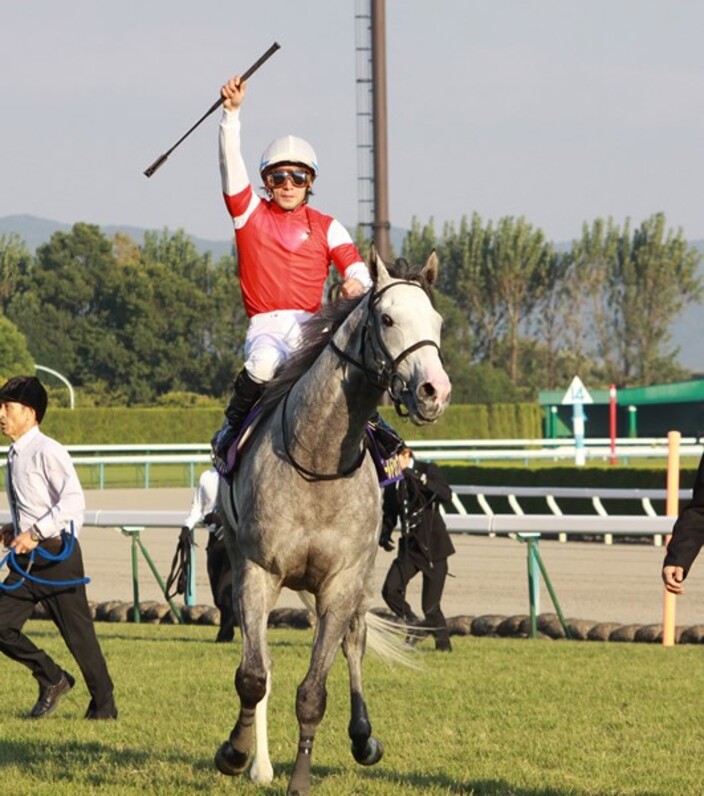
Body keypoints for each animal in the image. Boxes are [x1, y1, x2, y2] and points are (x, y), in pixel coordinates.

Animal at [214, 246, 452, 792]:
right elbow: (253, 676)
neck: (316, 459)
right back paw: (258, 763)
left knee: (354, 641)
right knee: (261, 661)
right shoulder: (258, 571)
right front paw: (236, 753)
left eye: (437, 322)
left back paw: (363, 738)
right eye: (387, 319)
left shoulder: (341, 581)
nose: (435, 391)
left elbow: (314, 690)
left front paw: (302, 777)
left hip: (357, 579)